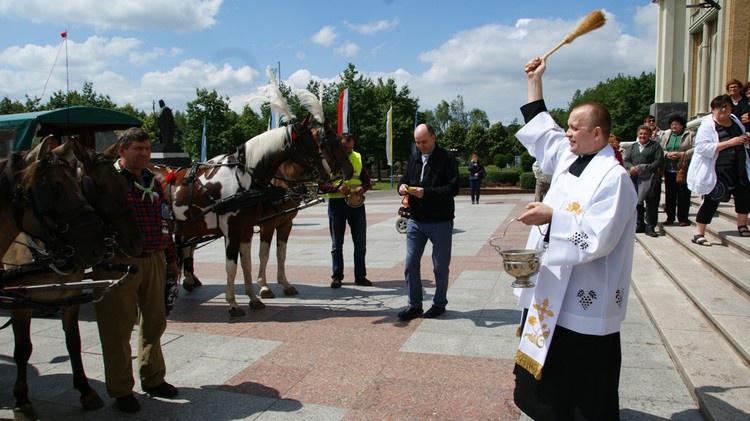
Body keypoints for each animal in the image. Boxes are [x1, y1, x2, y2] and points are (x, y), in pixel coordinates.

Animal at [1, 137, 141, 416]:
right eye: (97, 188)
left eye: (124, 184)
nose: (135, 241)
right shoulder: (20, 300)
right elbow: (22, 349)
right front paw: (22, 400)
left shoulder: (70, 294)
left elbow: (73, 342)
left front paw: (86, 391)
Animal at [151, 118, 354, 316]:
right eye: (323, 144)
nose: (349, 170)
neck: (244, 178)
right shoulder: (247, 227)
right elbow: (242, 262)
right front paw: (243, 298)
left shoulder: (269, 225)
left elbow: (260, 259)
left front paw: (262, 294)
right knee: (186, 248)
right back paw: (188, 280)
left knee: (187, 248)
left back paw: (191, 280)